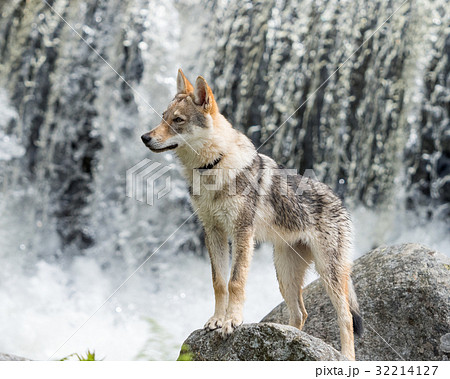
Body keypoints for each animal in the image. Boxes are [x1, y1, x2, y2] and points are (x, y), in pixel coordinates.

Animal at [142, 70, 364, 360]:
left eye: (178, 120)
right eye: (163, 117)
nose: (145, 137)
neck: (212, 166)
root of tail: (340, 201)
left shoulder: (242, 233)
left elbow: (235, 282)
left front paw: (231, 322)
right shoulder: (213, 232)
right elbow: (219, 282)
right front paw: (216, 320)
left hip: (329, 274)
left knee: (345, 317)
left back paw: (346, 357)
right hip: (284, 275)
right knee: (300, 313)